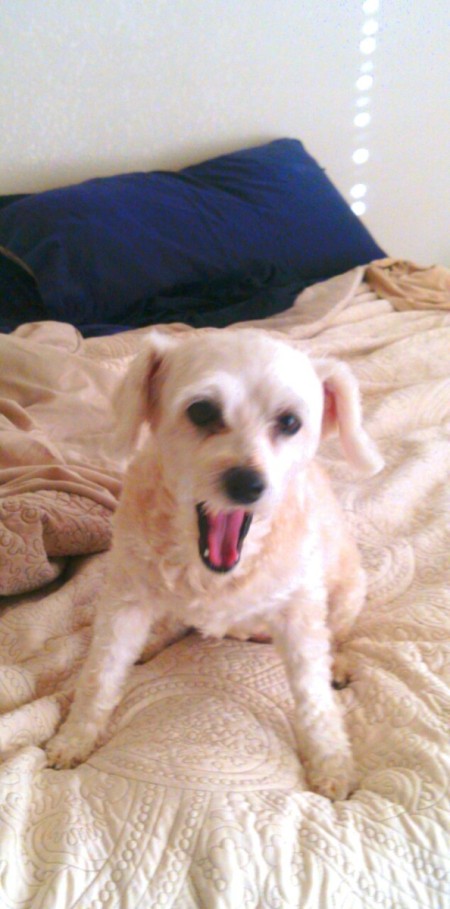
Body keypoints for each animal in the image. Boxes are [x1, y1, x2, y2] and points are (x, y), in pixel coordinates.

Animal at [46, 326, 384, 796]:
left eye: (290, 422)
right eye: (202, 410)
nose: (247, 483)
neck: (212, 575)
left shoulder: (299, 615)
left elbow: (315, 699)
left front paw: (330, 762)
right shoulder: (124, 603)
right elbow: (101, 674)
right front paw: (76, 737)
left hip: (349, 590)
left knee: (338, 634)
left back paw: (340, 661)